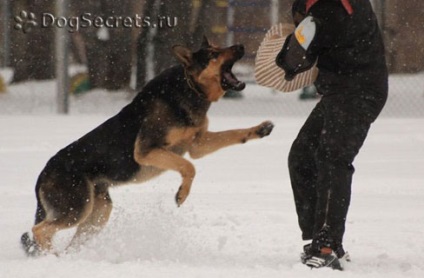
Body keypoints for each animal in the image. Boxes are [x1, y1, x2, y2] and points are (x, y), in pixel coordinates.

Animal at [20, 37, 274, 256]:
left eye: (220, 47)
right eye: (213, 54)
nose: (241, 46)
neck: (190, 88)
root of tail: (42, 174)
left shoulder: (198, 145)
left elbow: (233, 134)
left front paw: (260, 129)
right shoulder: (147, 151)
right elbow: (188, 167)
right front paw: (181, 194)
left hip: (98, 213)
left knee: (64, 239)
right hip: (77, 208)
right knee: (39, 230)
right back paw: (51, 256)